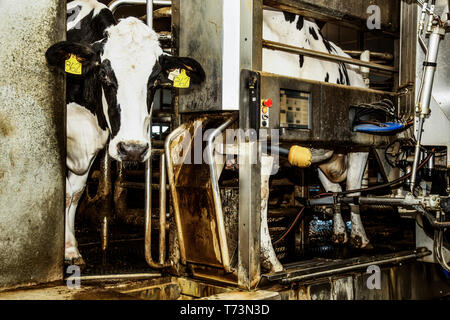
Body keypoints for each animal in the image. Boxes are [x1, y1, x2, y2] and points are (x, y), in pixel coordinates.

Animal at [46, 0, 205, 264]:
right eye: (103, 73)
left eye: (155, 80)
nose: (132, 149)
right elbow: (64, 192)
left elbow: (75, 193)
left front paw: (70, 249)